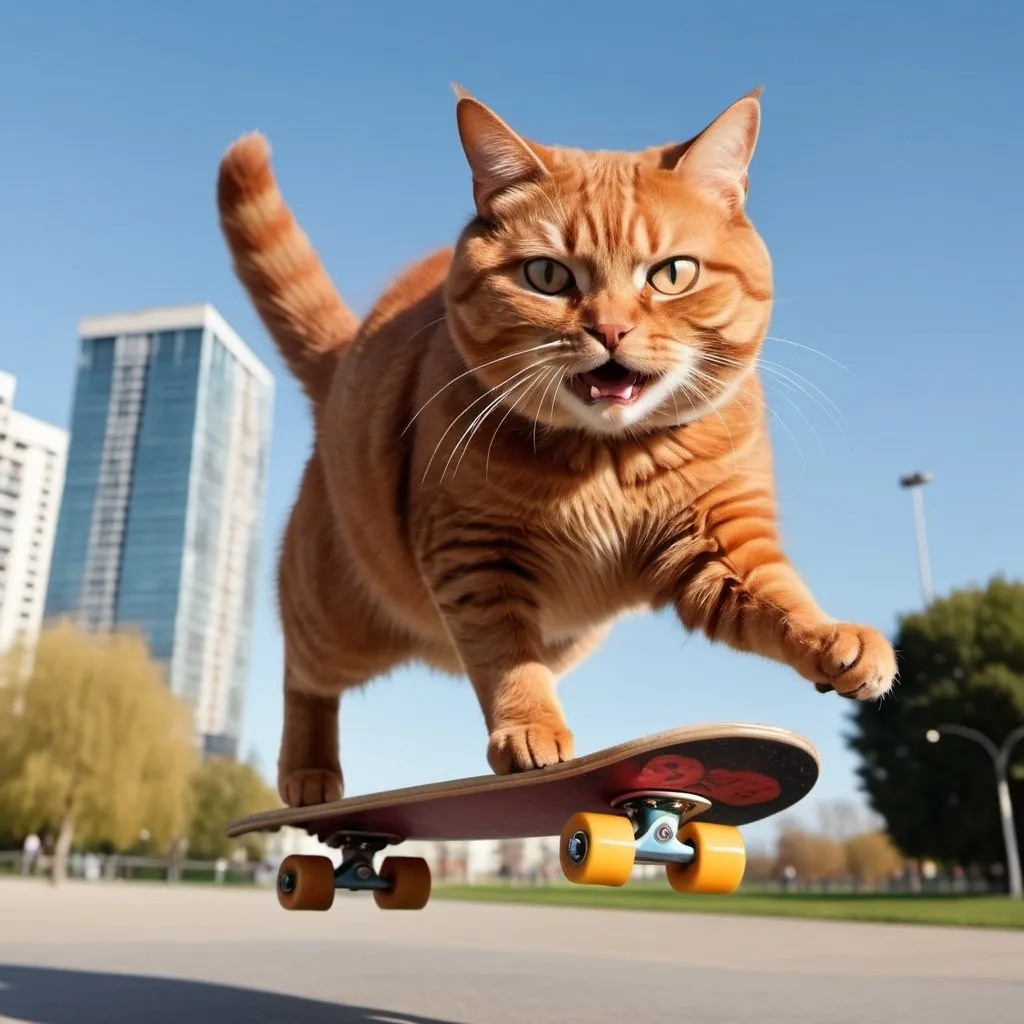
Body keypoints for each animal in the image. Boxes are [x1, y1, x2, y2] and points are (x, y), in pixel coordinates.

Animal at [216, 88, 897, 806]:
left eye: (673, 274)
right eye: (547, 275)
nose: (611, 329)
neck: (608, 462)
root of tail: (346, 354)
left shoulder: (717, 544)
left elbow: (780, 601)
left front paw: (833, 641)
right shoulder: (473, 554)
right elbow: (507, 659)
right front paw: (530, 730)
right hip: (337, 618)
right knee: (303, 673)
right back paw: (309, 772)